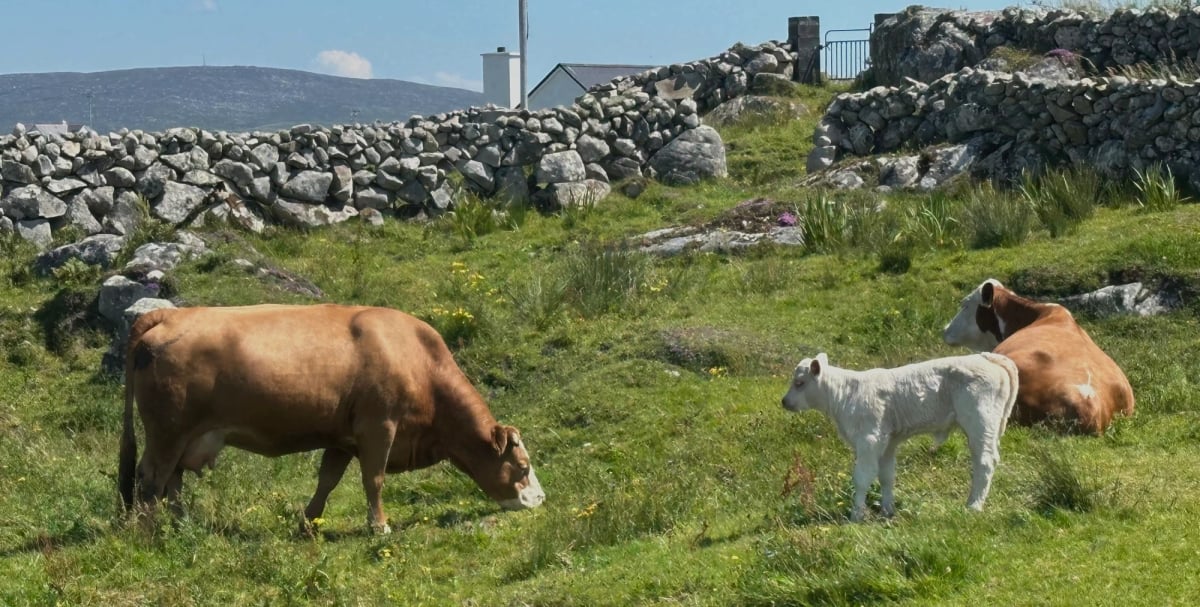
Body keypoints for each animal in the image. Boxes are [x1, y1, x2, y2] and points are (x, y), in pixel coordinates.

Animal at [118, 304, 545, 533]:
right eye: (522, 466)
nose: (541, 498)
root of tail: (167, 313)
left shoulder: (343, 439)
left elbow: (328, 480)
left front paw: (308, 523)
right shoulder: (378, 427)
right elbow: (373, 480)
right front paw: (379, 525)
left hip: (184, 437)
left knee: (173, 480)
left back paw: (181, 525)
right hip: (167, 432)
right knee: (151, 478)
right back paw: (148, 533)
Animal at [781, 352, 1019, 522]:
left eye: (800, 382)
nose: (784, 402)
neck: (847, 394)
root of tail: (987, 356)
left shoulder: (869, 440)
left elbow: (862, 478)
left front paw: (856, 515)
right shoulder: (887, 443)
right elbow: (886, 476)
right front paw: (887, 510)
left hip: (980, 422)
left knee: (985, 462)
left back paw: (974, 506)